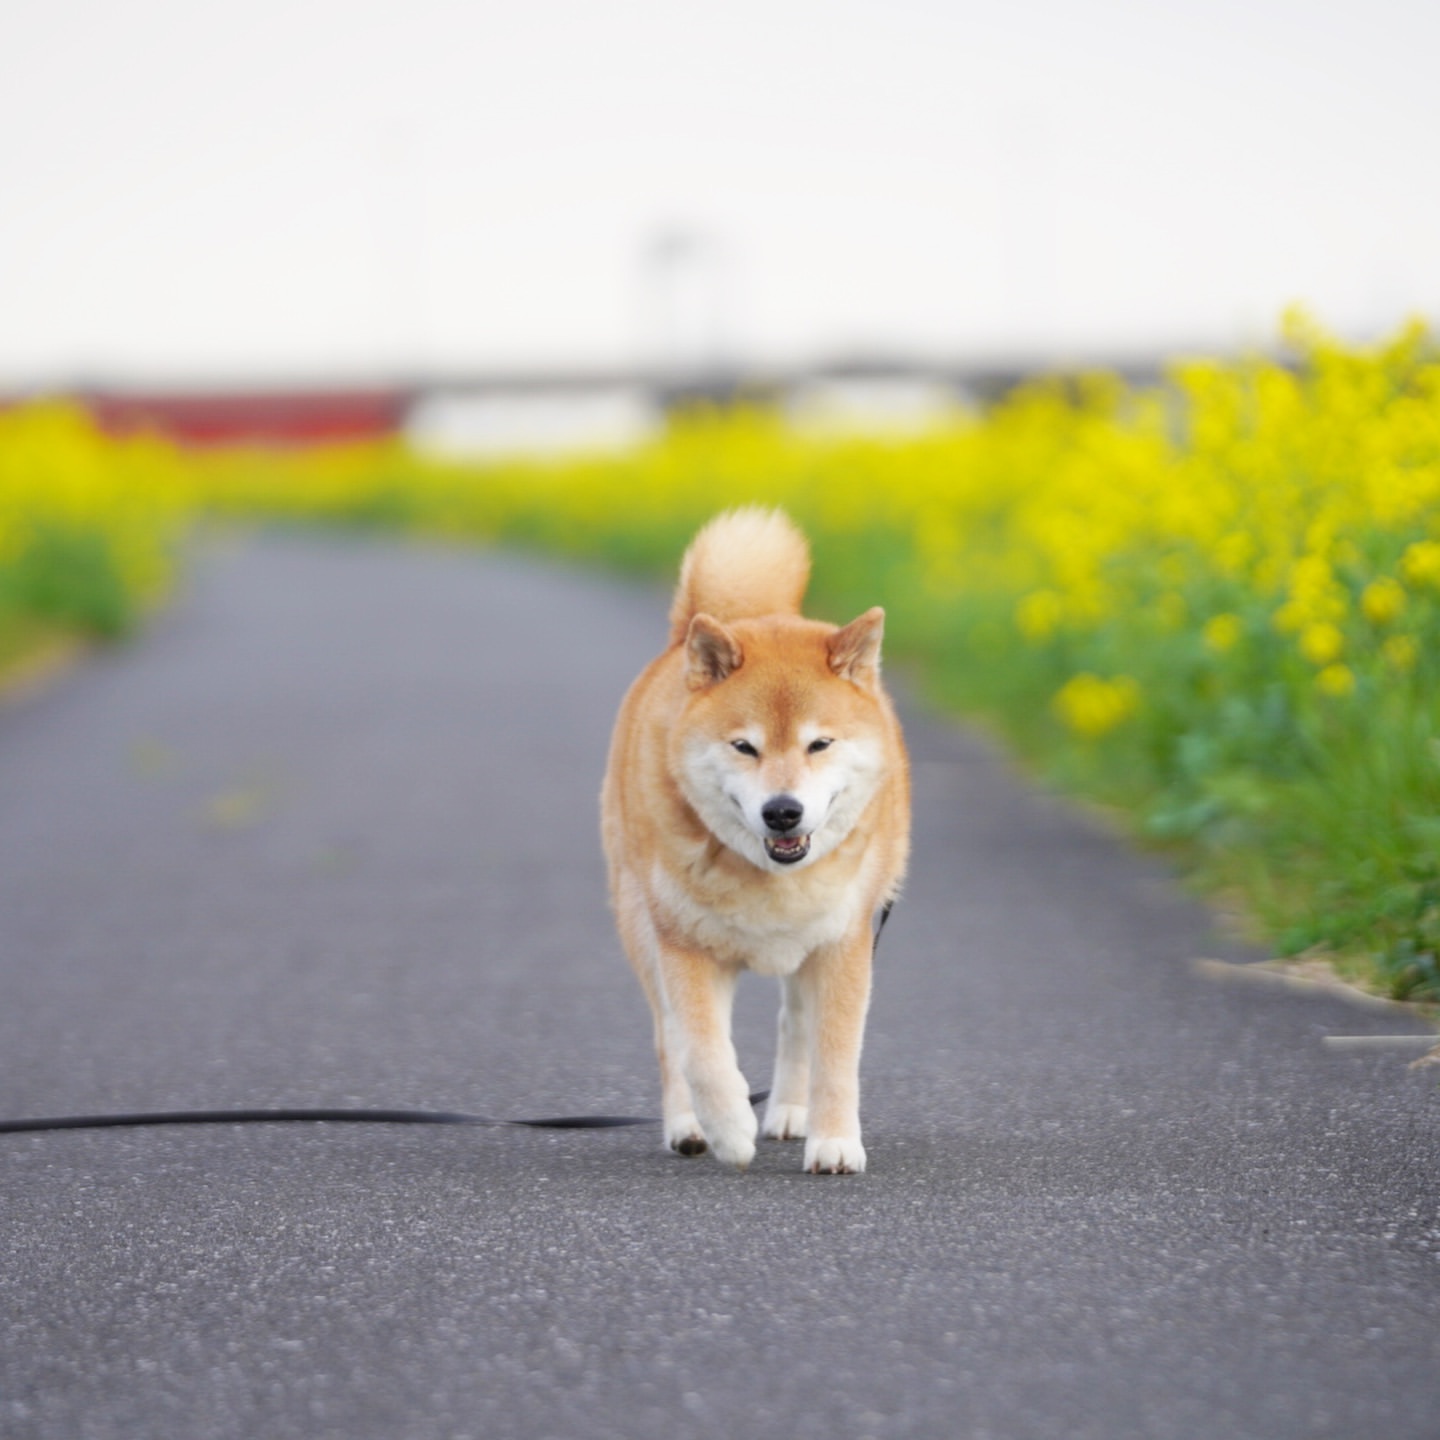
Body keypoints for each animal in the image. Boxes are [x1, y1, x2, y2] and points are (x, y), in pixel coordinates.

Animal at [599, 506, 910, 1169]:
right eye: (745, 746)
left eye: (820, 744)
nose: (783, 812)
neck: (769, 879)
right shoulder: (683, 944)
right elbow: (701, 1048)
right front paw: (729, 1125)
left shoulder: (845, 943)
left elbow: (836, 1055)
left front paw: (835, 1141)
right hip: (639, 923)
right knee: (669, 1037)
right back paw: (690, 1127)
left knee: (795, 1026)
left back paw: (791, 1111)